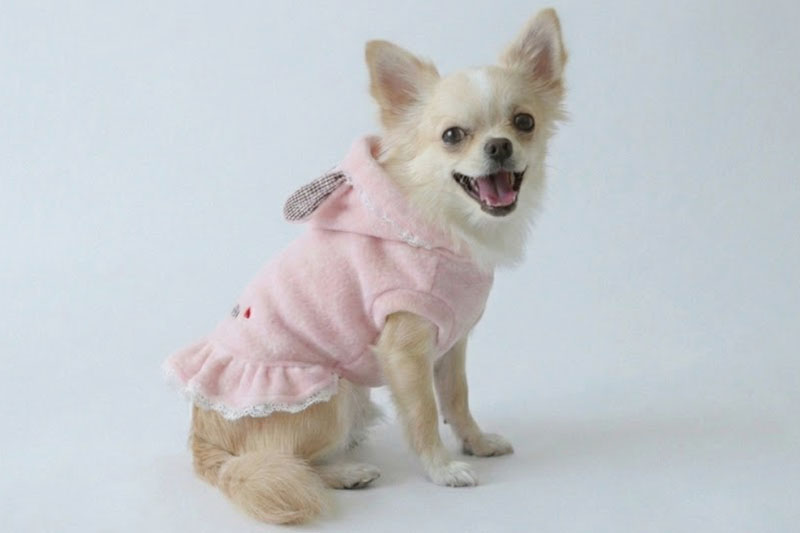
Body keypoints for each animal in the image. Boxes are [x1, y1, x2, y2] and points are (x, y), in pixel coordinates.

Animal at [164, 8, 566, 524]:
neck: (443, 223)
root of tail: (203, 442)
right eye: (452, 136)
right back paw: (345, 472)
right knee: (283, 462)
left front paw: (475, 442)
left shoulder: (451, 342)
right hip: (331, 392)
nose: (499, 146)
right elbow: (423, 414)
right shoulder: (405, 350)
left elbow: (456, 398)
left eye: (524, 122)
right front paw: (442, 469)